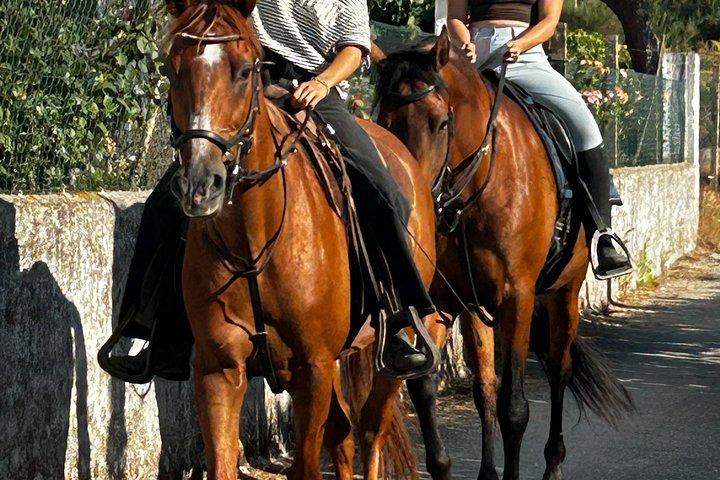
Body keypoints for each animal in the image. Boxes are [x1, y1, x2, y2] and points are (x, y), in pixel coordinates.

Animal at [373, 32, 634, 480]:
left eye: (441, 123)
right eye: (382, 122)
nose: (408, 207)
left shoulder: (517, 299)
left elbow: (515, 407)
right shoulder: (441, 302)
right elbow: (429, 389)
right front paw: (445, 466)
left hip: (564, 294)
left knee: (558, 369)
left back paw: (553, 464)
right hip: (478, 309)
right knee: (485, 387)